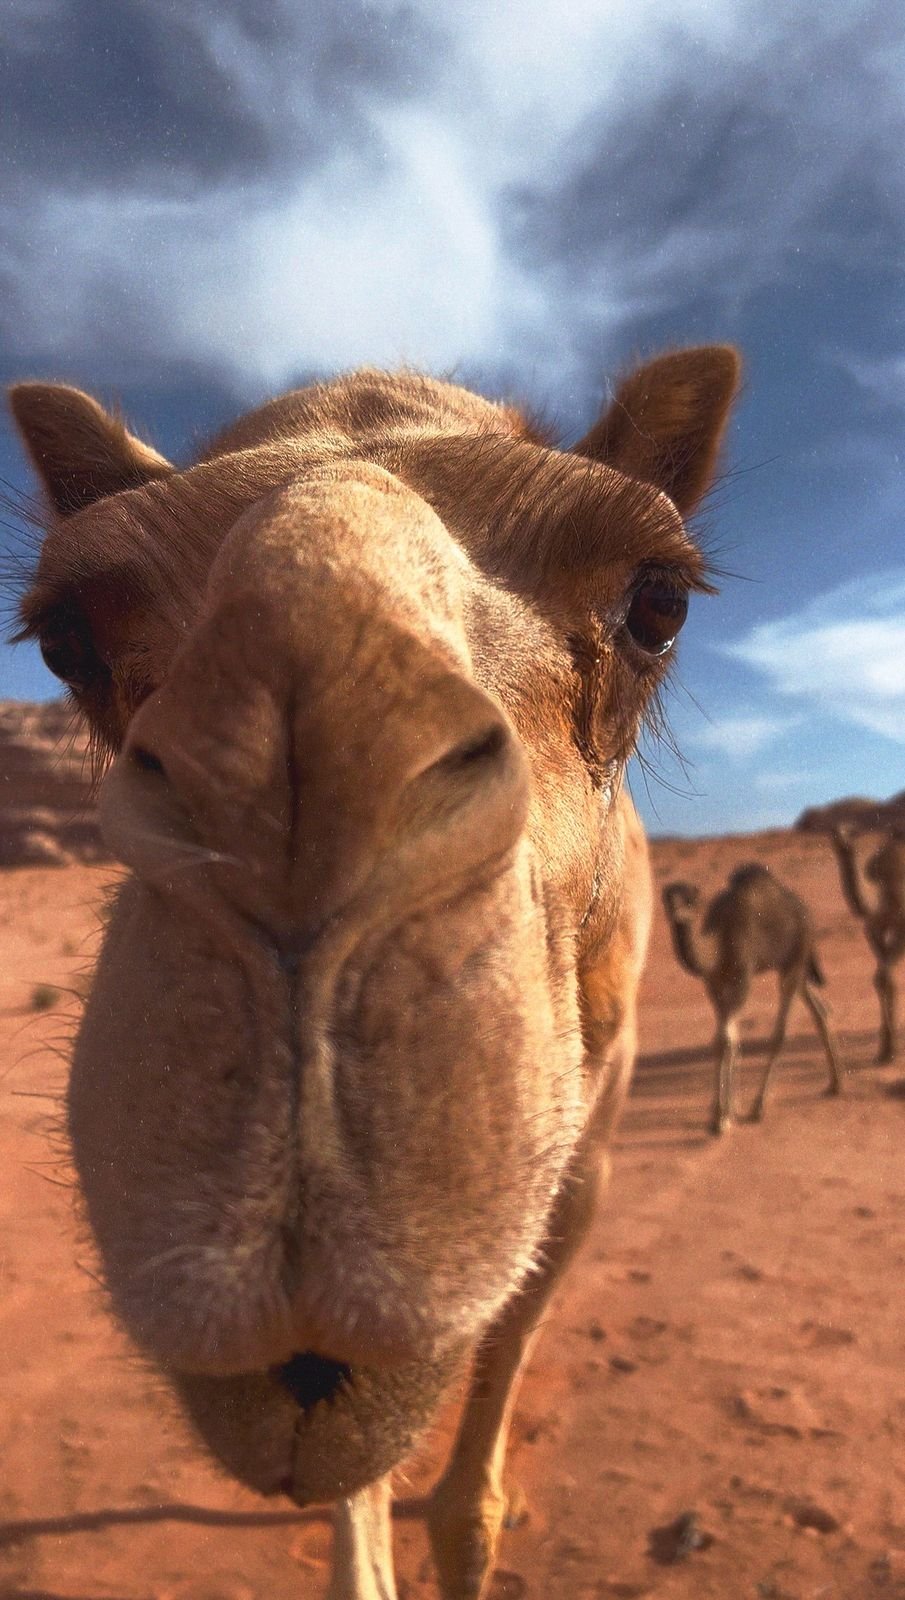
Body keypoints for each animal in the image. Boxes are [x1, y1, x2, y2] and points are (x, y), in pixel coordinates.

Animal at [662, 864, 844, 1135]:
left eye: (690, 900)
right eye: (668, 899)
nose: (678, 914)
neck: (718, 944)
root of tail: (805, 911)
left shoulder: (742, 978)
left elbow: (728, 1039)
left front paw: (723, 1118)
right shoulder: (715, 984)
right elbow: (723, 1041)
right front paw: (722, 1110)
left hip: (796, 956)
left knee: (781, 1030)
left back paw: (759, 1107)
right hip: (796, 966)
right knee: (822, 1010)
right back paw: (836, 1083)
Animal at [829, 824, 905, 1061]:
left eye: (849, 830)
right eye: (833, 831)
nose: (840, 838)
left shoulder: (901, 927)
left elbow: (886, 977)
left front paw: (891, 1050)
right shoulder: (875, 930)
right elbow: (881, 979)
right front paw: (885, 1049)